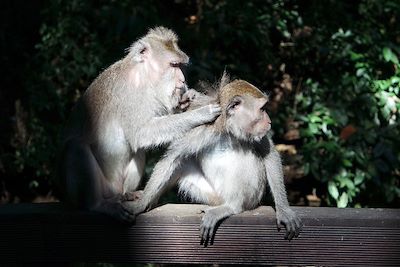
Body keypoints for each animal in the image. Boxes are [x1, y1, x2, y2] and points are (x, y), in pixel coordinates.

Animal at [55, 26, 222, 224]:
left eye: (181, 65)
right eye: (174, 65)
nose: (182, 81)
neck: (143, 76)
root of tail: (114, 191)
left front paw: (190, 98)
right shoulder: (131, 95)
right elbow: (141, 134)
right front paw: (200, 114)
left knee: (139, 152)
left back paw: (128, 195)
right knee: (75, 147)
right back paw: (98, 205)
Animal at [123, 73, 302, 245]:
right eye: (262, 109)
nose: (269, 121)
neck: (227, 131)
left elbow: (269, 154)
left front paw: (284, 211)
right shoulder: (201, 130)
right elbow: (172, 158)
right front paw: (141, 204)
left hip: (252, 197)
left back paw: (232, 207)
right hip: (213, 195)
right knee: (182, 165)